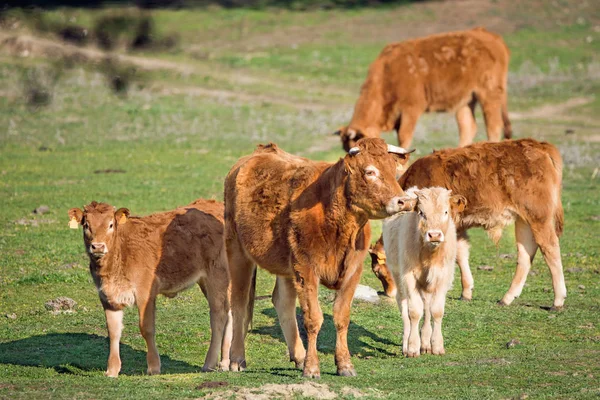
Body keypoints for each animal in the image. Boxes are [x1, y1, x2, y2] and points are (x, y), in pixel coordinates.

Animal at [68, 198, 232, 376]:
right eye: (86, 225)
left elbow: (146, 328)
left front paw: (153, 367)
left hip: (217, 274)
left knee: (218, 315)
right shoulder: (106, 296)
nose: (98, 247)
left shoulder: (145, 293)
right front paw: (112, 370)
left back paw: (209, 363)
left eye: (111, 224)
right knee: (230, 312)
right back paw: (225, 363)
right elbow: (113, 331)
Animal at [225, 138, 418, 378]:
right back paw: (237, 359)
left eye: (394, 170)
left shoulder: (352, 272)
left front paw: (344, 364)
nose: (404, 201)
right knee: (239, 303)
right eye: (370, 171)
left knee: (283, 302)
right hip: (238, 252)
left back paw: (298, 357)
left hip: (286, 266)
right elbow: (313, 319)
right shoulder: (307, 269)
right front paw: (312, 367)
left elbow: (341, 317)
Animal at [332, 26, 510, 152]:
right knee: (468, 127)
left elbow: (404, 139)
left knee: (493, 126)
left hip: (489, 94)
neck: (388, 73)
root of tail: (491, 36)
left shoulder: (411, 109)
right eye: (346, 149)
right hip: (466, 101)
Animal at [372, 139, 564, 310]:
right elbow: (462, 254)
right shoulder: (458, 228)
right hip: (523, 220)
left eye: (378, 271)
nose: (389, 293)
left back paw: (558, 301)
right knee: (526, 253)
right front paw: (466, 292)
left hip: (539, 218)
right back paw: (507, 298)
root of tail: (540, 146)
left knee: (550, 248)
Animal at [382, 188, 466, 360]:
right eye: (421, 212)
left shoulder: (443, 277)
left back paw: (426, 342)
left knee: (427, 305)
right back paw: (406, 344)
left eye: (445, 211)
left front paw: (437, 345)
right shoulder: (409, 277)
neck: (429, 254)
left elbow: (436, 311)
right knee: (404, 305)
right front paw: (413, 347)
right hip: (398, 275)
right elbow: (414, 312)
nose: (434, 235)